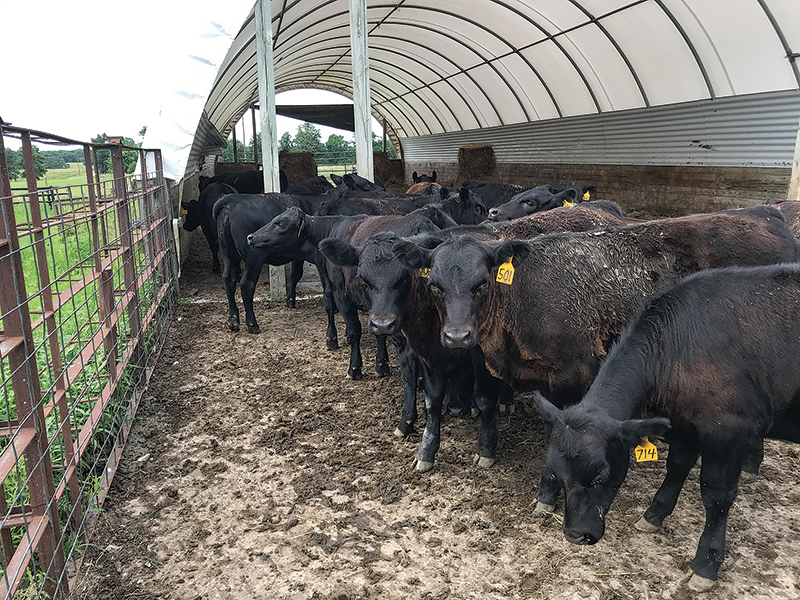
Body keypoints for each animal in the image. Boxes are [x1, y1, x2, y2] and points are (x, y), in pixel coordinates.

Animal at [393, 207, 799, 485]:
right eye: (434, 285)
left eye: (482, 283)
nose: (457, 337)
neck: (521, 295)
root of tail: (767, 216)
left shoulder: (571, 375)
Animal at [535, 262, 800, 591]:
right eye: (556, 474)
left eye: (601, 476)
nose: (575, 535)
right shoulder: (684, 425)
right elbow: (676, 467)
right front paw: (654, 515)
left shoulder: (729, 430)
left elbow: (716, 495)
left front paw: (706, 564)